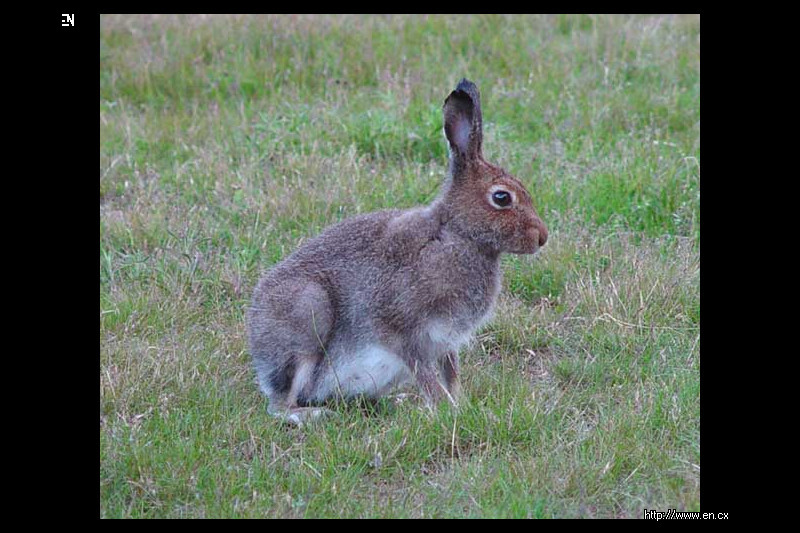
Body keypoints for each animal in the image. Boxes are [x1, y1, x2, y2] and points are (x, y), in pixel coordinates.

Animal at [248, 78, 552, 424]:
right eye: (502, 198)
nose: (541, 237)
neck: (458, 235)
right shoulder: (404, 329)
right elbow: (427, 375)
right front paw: (447, 410)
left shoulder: (445, 342)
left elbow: (451, 373)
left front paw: (459, 404)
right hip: (307, 313)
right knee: (281, 403)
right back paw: (312, 415)